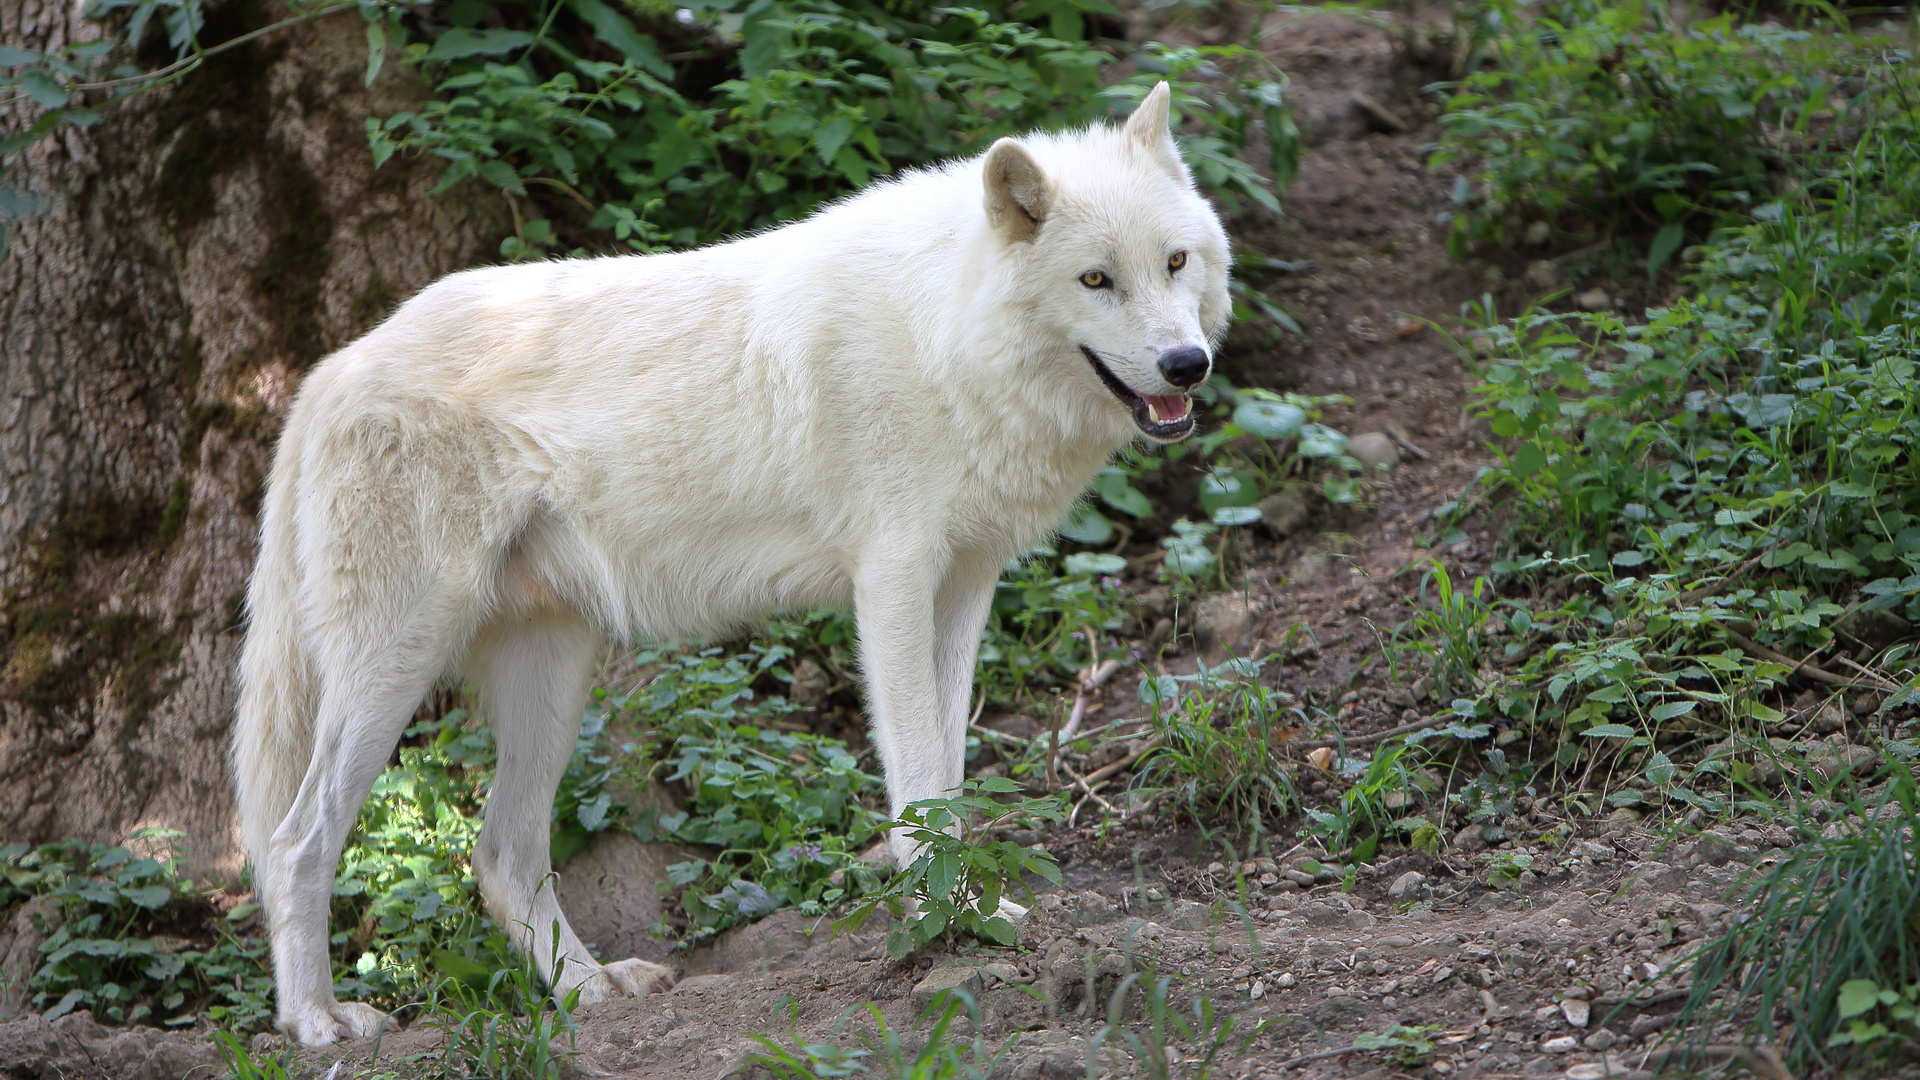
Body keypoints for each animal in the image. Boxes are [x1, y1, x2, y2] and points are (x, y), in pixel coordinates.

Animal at [236, 84, 1228, 1045]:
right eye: (1096, 279)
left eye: (1176, 263)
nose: (1189, 364)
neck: (942, 331)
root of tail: (327, 373)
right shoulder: (893, 583)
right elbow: (915, 782)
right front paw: (940, 924)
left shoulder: (964, 588)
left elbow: (945, 787)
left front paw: (975, 915)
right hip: (397, 665)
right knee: (295, 841)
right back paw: (317, 1022)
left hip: (553, 675)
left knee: (502, 856)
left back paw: (590, 991)